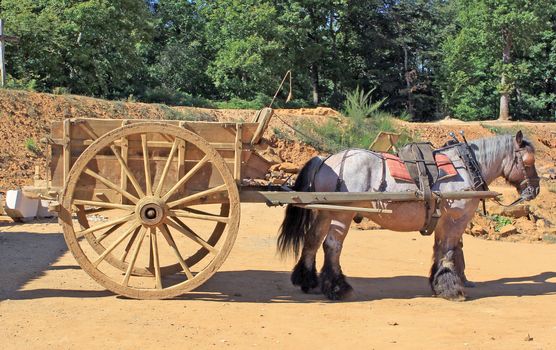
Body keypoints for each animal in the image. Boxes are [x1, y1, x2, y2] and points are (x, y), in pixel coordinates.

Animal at [278, 131, 540, 300]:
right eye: (528, 161)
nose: (534, 190)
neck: (466, 166)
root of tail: (326, 159)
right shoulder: (455, 219)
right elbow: (449, 250)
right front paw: (451, 288)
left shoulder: (442, 220)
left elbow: (439, 249)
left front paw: (438, 284)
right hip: (342, 213)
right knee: (331, 245)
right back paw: (337, 287)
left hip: (324, 211)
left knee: (312, 240)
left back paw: (307, 280)